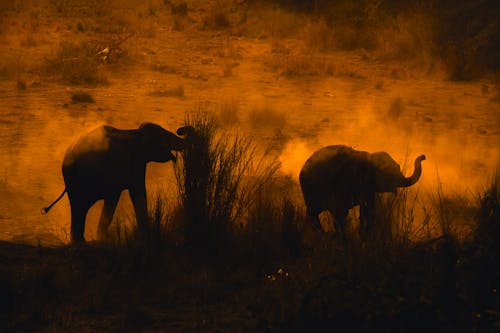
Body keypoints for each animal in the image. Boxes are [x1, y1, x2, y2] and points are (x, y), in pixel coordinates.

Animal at [42, 123, 193, 243]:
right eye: (166, 137)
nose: (180, 129)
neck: (136, 133)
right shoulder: (134, 163)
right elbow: (136, 193)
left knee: (79, 207)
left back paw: (79, 242)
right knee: (81, 205)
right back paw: (80, 242)